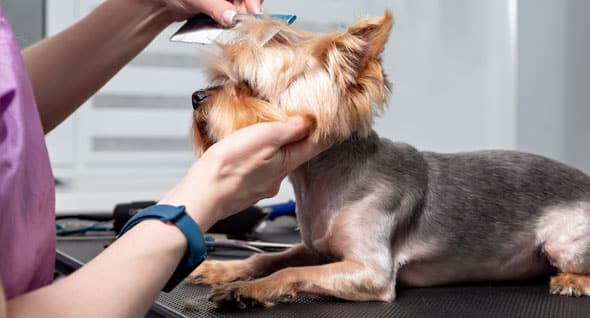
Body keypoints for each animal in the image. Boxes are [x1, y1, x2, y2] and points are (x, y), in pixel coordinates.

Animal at [187, 12, 590, 308]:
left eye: (248, 86)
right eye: (221, 78)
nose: (196, 96)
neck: (324, 181)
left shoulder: (369, 271)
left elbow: (287, 273)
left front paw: (247, 291)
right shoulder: (315, 249)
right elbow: (268, 259)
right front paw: (224, 270)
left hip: (562, 238)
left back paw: (571, 281)